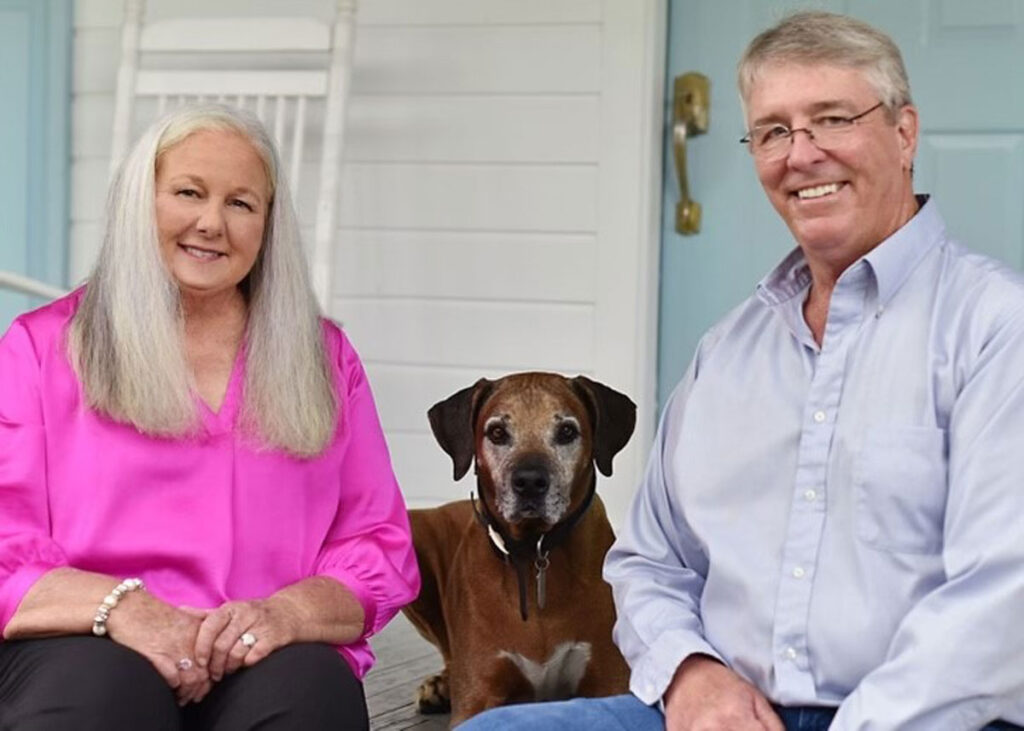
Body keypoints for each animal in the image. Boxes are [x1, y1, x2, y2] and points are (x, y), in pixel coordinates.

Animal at [399, 372, 630, 724]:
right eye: (497, 432)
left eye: (567, 431)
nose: (530, 482)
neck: (533, 552)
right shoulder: (477, 697)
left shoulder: (610, 680)